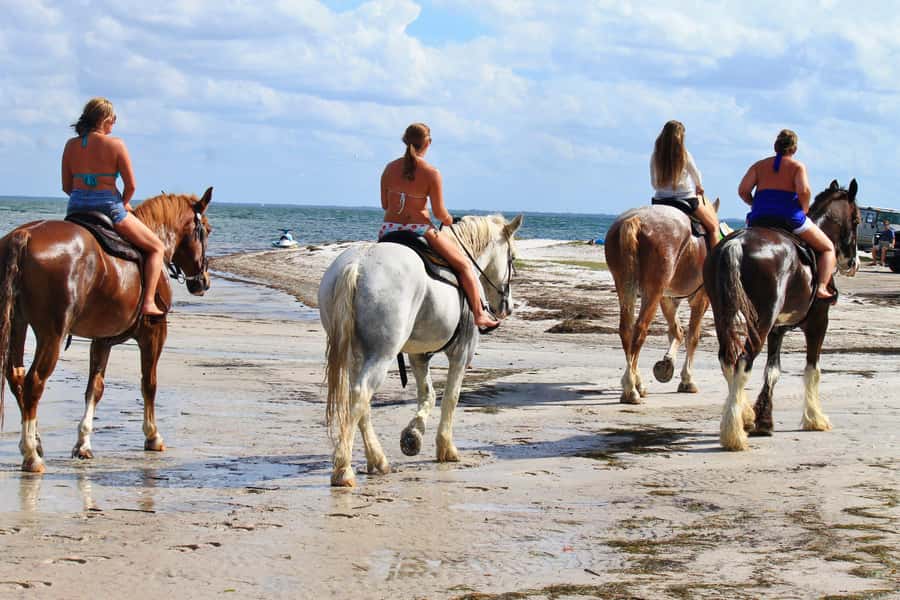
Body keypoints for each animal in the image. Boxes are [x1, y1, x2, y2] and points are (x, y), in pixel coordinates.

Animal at [0, 188, 213, 472]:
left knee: (16, 377)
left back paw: (35, 442)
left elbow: (95, 388)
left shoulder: (101, 340)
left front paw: (83, 443)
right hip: (51, 333)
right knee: (34, 382)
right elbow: (149, 383)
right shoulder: (154, 333)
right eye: (207, 230)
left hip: (18, 324)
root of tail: (24, 235)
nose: (203, 282)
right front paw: (152, 435)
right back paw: (31, 454)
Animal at [318, 214, 523, 487]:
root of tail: (358, 263)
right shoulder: (463, 352)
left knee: (360, 401)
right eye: (512, 258)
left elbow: (429, 395)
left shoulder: (417, 355)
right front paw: (446, 448)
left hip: (357, 354)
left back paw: (377, 460)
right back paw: (343, 469)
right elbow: (450, 397)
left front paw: (413, 436)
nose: (507, 306)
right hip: (382, 354)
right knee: (361, 394)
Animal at [604, 196, 722, 404]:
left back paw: (635, 384)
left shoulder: (667, 299)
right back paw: (631, 390)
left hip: (625, 285)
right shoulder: (701, 299)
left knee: (627, 330)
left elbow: (677, 331)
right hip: (653, 290)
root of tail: (634, 220)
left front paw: (667, 364)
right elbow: (693, 337)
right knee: (640, 329)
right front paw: (687, 380)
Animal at [704, 179, 859, 451]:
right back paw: (734, 434)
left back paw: (743, 415)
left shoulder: (777, 329)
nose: (853, 262)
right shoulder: (818, 322)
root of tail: (737, 244)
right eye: (858, 219)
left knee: (728, 360)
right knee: (743, 362)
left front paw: (763, 419)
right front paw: (814, 417)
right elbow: (812, 369)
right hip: (761, 320)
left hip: (724, 314)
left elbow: (773, 370)